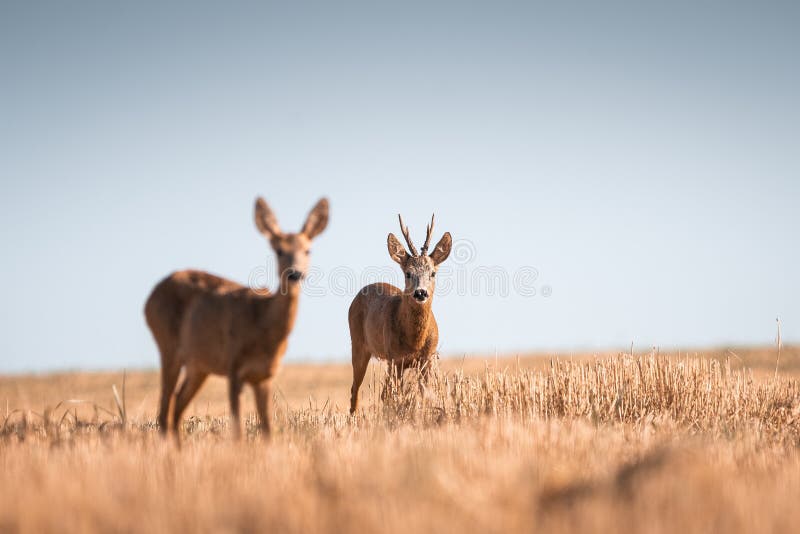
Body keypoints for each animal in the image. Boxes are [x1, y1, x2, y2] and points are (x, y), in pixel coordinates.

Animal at [144, 197, 328, 440]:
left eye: (308, 250)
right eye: (279, 250)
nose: (295, 274)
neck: (261, 323)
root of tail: (148, 299)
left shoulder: (265, 375)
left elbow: (267, 428)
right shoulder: (233, 368)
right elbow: (238, 430)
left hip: (199, 365)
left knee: (177, 406)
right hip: (167, 345)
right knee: (165, 409)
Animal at [348, 214, 454, 414]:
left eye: (433, 273)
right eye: (408, 273)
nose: (420, 293)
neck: (415, 342)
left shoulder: (427, 359)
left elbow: (424, 393)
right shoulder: (395, 358)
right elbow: (396, 395)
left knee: (382, 393)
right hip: (358, 345)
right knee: (355, 390)